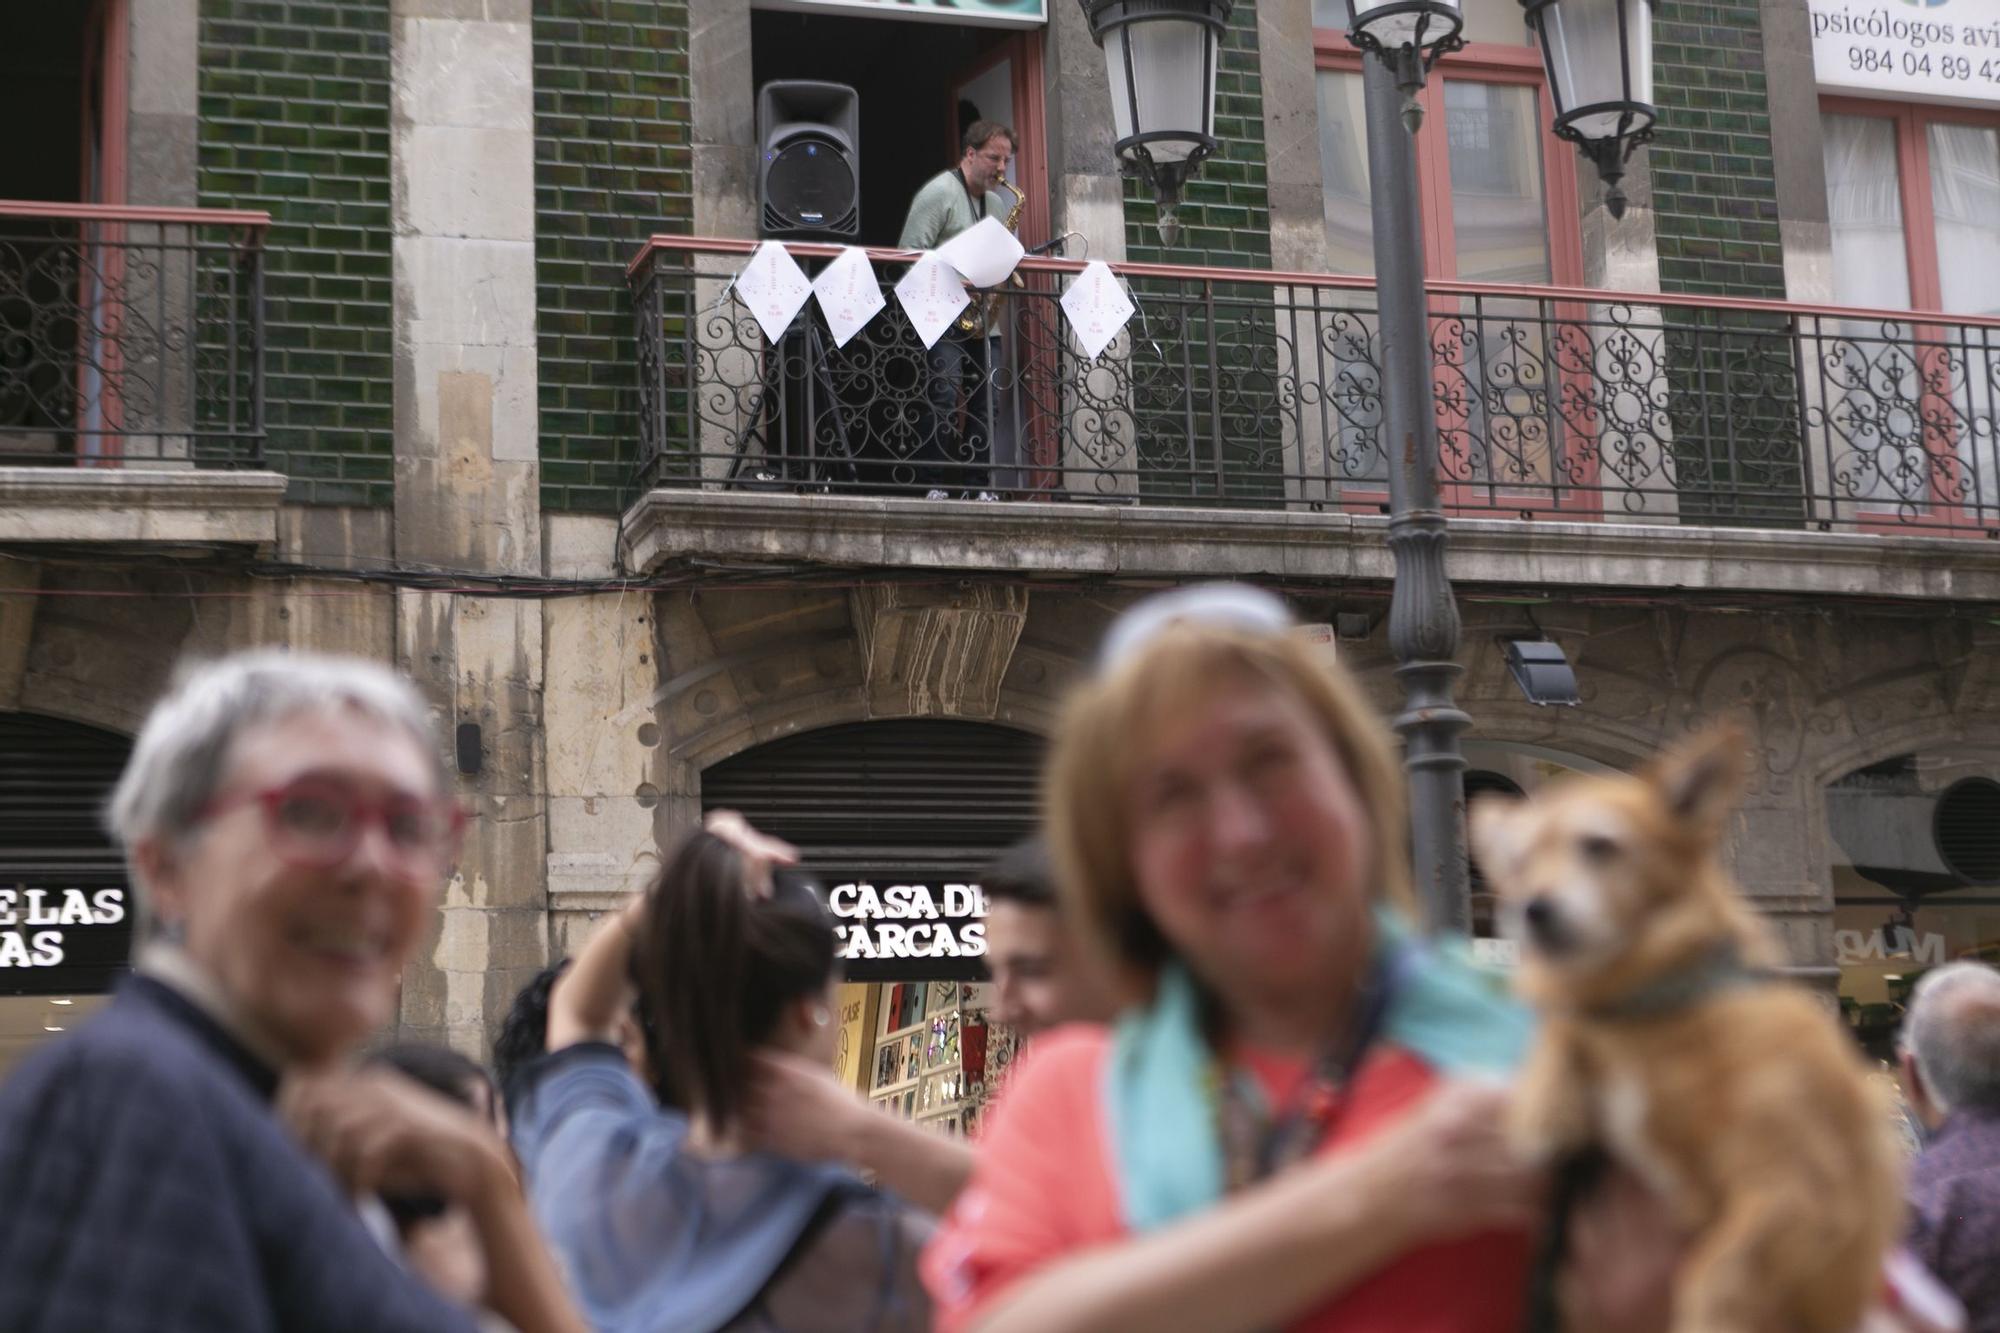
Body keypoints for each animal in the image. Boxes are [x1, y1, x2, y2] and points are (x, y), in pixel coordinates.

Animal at [1472, 728, 1904, 1328]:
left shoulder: (1798, 1192)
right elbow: (1566, 1020)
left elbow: (1712, 1275)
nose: (1531, 909)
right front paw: (1545, 1105)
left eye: (1600, 846)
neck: (1651, 1018)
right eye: (1518, 862)